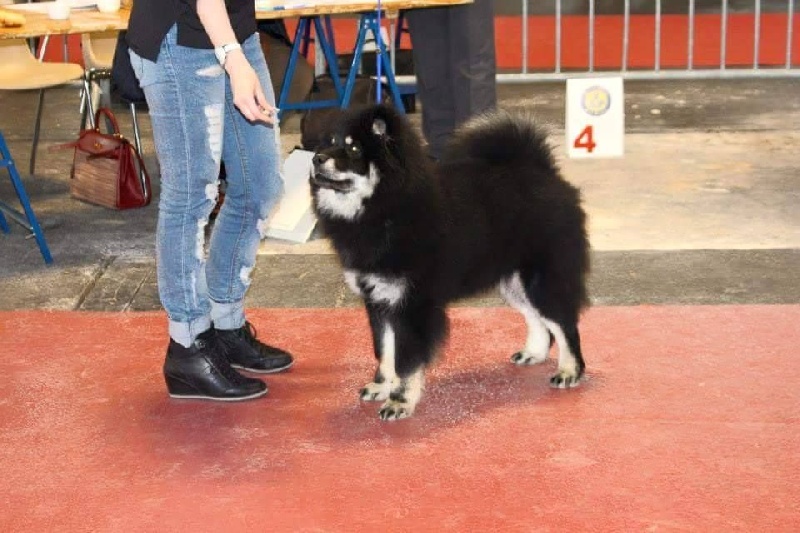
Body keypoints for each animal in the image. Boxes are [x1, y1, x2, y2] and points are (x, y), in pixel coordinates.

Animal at [309, 104, 590, 421]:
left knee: (564, 323)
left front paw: (399, 401)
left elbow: (406, 358)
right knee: (537, 319)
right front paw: (382, 385)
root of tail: (544, 172)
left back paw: (570, 371)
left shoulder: (411, 305)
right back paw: (535, 353)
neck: (387, 206)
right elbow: (384, 350)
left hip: (541, 279)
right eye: (329, 143)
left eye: (354, 148)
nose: (317, 158)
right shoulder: (379, 301)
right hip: (513, 282)